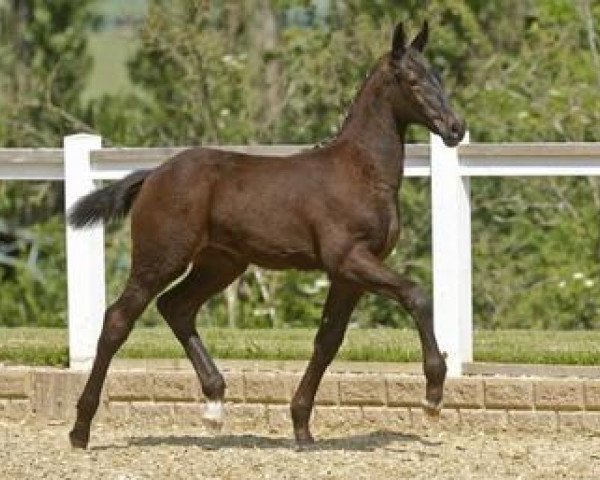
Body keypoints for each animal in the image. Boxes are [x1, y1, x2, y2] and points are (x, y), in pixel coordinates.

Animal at [68, 20, 466, 448]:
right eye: (412, 79)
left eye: (437, 75)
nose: (455, 129)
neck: (361, 172)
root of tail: (153, 175)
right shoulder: (349, 259)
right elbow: (416, 296)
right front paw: (433, 395)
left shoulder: (350, 275)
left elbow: (327, 341)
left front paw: (302, 427)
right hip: (160, 259)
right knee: (118, 320)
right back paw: (80, 428)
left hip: (221, 264)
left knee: (175, 307)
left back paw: (214, 405)